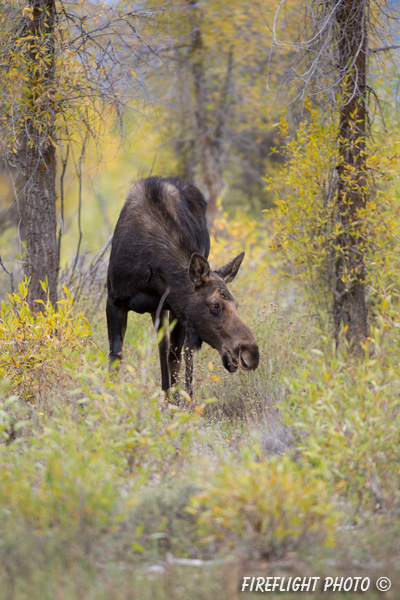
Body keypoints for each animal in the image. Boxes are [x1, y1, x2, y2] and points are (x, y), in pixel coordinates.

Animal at [106, 176, 260, 396]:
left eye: (236, 305)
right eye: (216, 305)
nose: (251, 353)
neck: (150, 272)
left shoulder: (177, 309)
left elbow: (175, 361)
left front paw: (176, 401)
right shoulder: (114, 300)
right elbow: (115, 358)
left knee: (184, 354)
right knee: (163, 346)